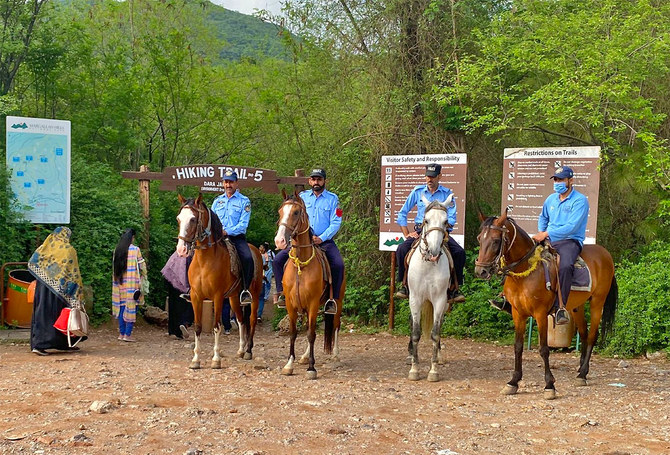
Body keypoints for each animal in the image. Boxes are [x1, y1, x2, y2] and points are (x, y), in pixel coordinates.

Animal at [177, 193, 264, 370]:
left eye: (193, 219)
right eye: (178, 219)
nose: (181, 249)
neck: (205, 261)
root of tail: (255, 250)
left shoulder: (217, 297)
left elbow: (217, 327)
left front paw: (216, 359)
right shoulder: (196, 297)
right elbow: (197, 327)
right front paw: (195, 360)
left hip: (255, 295)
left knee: (251, 320)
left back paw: (248, 351)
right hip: (233, 298)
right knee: (241, 320)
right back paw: (240, 350)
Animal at [274, 191, 346, 380]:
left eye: (296, 212)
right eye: (280, 212)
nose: (279, 241)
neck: (301, 264)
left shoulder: (313, 304)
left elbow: (311, 334)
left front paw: (312, 368)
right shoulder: (291, 305)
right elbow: (294, 333)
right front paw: (289, 364)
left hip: (338, 301)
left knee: (336, 325)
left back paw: (336, 355)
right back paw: (305, 356)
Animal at [406, 194, 454, 382]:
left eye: (446, 221)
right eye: (426, 220)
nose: (433, 250)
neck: (428, 265)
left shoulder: (440, 300)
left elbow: (435, 333)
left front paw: (433, 371)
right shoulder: (415, 299)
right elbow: (415, 332)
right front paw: (414, 369)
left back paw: (439, 357)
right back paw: (410, 354)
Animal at [476, 210, 616, 400]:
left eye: (496, 240)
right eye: (479, 238)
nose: (480, 271)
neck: (525, 273)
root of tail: (605, 253)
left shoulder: (540, 314)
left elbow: (544, 349)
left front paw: (549, 385)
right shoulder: (518, 314)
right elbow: (518, 347)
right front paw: (513, 382)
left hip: (597, 303)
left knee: (592, 336)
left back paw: (583, 373)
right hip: (576, 307)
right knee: (584, 333)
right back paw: (581, 370)